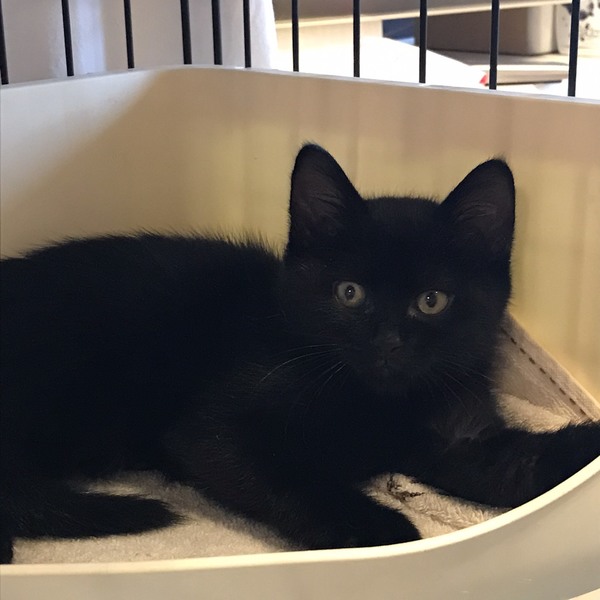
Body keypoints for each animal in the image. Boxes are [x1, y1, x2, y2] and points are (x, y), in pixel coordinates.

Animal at [1, 144, 599, 564]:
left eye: (432, 301)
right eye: (348, 293)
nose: (387, 342)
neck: (376, 404)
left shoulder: (458, 436)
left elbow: (512, 469)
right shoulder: (214, 427)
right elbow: (280, 471)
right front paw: (377, 527)